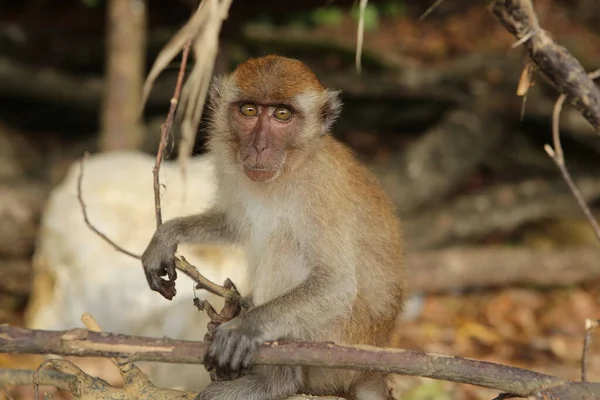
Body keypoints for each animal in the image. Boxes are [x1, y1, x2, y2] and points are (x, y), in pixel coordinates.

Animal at [142, 54, 406, 400]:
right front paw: (167, 235)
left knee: (285, 245)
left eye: (282, 114)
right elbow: (233, 223)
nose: (259, 147)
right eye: (249, 110)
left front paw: (245, 328)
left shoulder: (321, 189)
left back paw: (276, 380)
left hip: (337, 348)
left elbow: (336, 284)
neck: (292, 167)